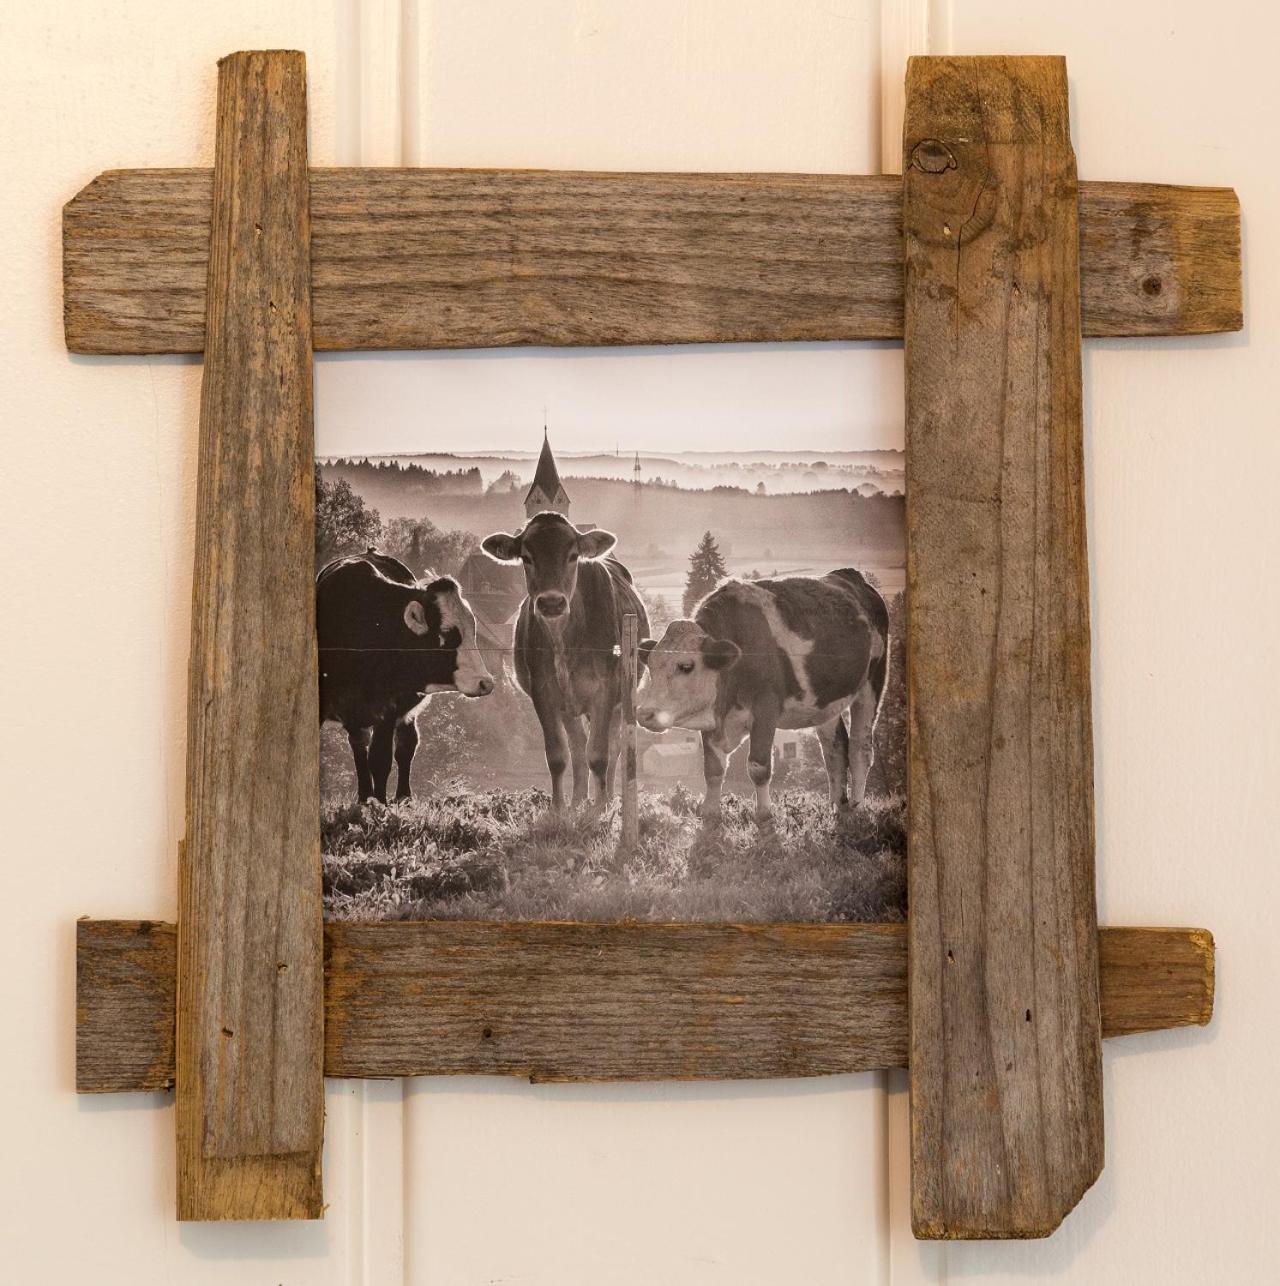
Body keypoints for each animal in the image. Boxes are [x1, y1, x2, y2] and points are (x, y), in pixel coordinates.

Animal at [319, 552, 496, 802]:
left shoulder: (388, 709)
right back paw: (364, 797)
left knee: (405, 747)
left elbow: (381, 760)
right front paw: (372, 802)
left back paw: (403, 797)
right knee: (360, 744)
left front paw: (380, 805)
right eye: (448, 636)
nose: (485, 682)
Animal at [486, 509, 656, 802]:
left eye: (573, 555)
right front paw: (560, 808)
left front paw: (600, 808)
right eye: (527, 557)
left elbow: (599, 755)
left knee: (613, 748)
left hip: (620, 699)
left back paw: (606, 798)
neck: (563, 641)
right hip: (569, 705)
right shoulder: (543, 693)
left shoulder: (605, 691)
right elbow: (558, 756)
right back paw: (578, 800)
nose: (552, 602)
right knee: (577, 749)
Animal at [632, 570, 890, 823]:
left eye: (686, 666)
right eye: (651, 665)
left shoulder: (766, 709)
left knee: (860, 749)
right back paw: (838, 807)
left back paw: (856, 807)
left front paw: (764, 813)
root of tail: (851, 577)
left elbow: (758, 767)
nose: (645, 714)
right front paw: (711, 812)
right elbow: (713, 769)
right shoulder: (715, 714)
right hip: (825, 703)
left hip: (871, 686)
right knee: (834, 750)